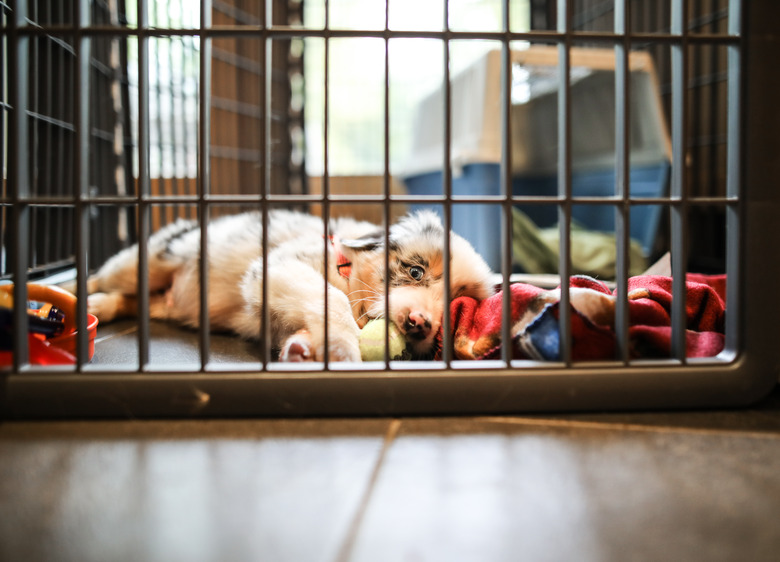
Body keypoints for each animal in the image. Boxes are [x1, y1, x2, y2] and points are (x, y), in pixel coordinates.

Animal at [80, 208, 494, 360]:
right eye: (416, 272)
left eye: (456, 300)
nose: (420, 324)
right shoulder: (280, 267)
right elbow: (331, 302)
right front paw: (342, 350)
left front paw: (303, 350)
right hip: (147, 262)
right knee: (103, 276)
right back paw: (76, 293)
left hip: (159, 300)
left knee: (129, 300)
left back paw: (95, 306)